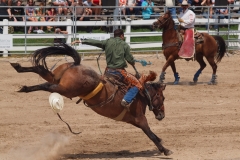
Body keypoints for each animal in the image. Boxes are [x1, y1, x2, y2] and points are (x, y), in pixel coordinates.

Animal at [10, 43, 173, 156]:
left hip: (55, 78)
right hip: (64, 89)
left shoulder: (134, 121)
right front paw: (165, 150)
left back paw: (18, 69)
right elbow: (151, 134)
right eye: (162, 97)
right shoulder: (140, 119)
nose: (162, 115)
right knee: (46, 85)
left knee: (39, 70)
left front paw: (162, 144)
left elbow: (153, 135)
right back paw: (25, 87)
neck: (141, 94)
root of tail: (76, 64)